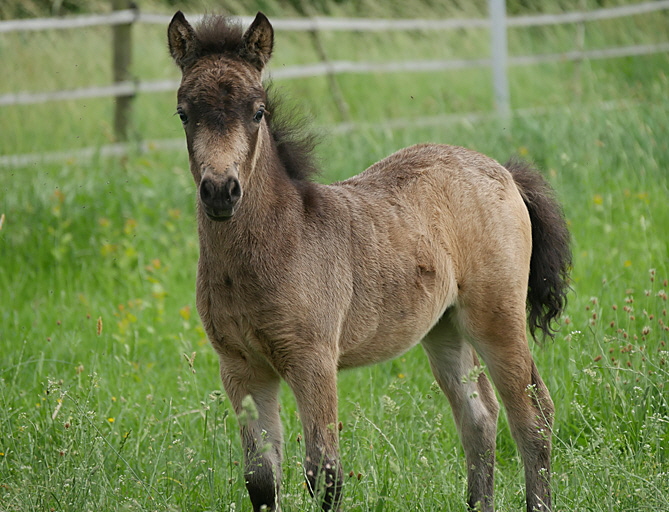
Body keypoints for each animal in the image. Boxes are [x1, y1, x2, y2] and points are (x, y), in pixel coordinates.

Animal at [170, 12, 572, 512]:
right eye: (184, 112)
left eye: (257, 111)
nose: (221, 191)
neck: (277, 244)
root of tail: (504, 171)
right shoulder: (241, 368)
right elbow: (261, 479)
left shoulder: (313, 360)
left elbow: (324, 474)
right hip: (443, 328)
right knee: (479, 417)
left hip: (496, 317)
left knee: (532, 416)